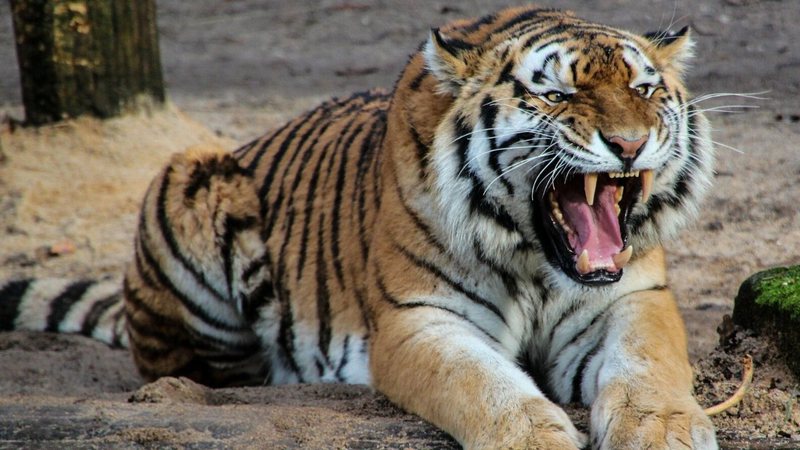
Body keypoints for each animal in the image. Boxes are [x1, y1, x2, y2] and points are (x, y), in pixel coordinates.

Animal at [0, 6, 719, 449]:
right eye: (556, 94)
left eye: (646, 91)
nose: (629, 144)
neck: (536, 260)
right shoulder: (418, 319)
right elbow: (484, 385)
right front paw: (535, 438)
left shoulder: (634, 297)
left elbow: (650, 365)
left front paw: (665, 431)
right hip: (189, 178)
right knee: (191, 367)